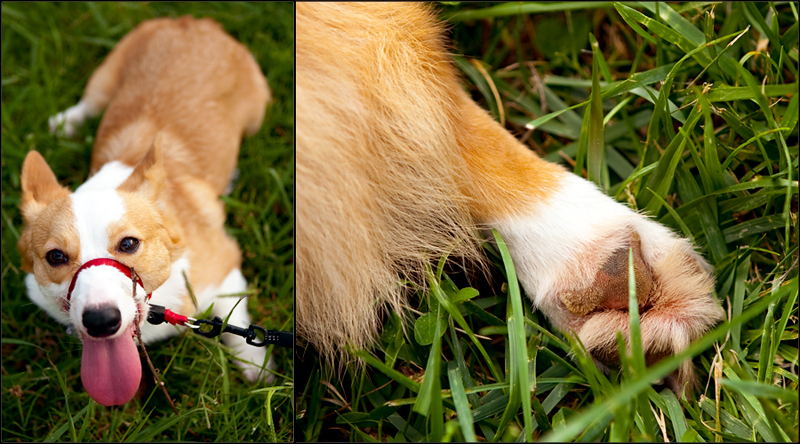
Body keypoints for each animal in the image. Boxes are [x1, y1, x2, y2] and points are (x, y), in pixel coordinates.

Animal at [18, 16, 272, 406]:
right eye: (55, 256)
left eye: (129, 244)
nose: (100, 321)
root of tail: (194, 21)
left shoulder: (226, 271)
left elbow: (236, 323)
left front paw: (256, 367)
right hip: (108, 72)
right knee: (89, 101)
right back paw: (66, 122)